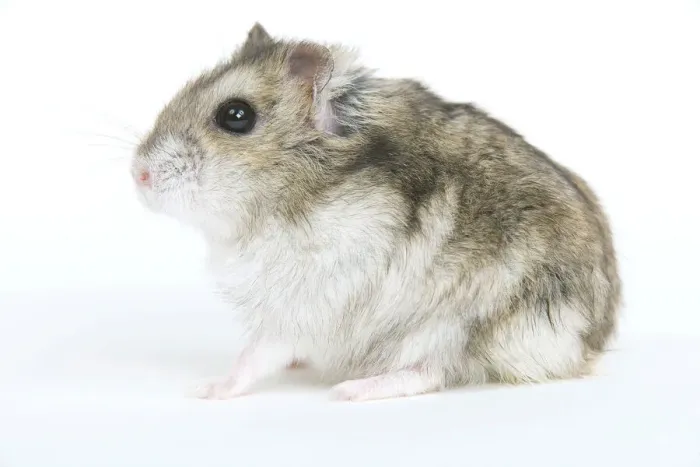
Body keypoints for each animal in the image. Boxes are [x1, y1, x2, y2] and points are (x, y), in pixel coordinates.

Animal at [131, 23, 621, 402]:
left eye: (236, 115)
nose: (138, 175)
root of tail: (588, 349)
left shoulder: (308, 296)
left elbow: (256, 352)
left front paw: (206, 389)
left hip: (457, 325)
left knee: (431, 372)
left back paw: (351, 390)